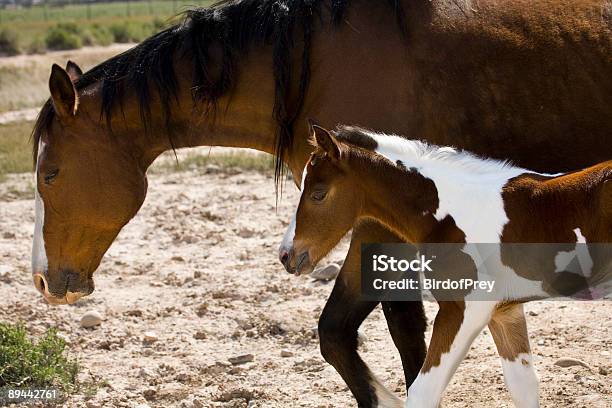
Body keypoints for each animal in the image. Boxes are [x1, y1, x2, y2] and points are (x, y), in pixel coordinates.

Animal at [280, 125, 608, 408]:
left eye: (318, 194)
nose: (286, 255)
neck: (454, 212)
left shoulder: (464, 308)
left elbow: (422, 393)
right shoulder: (505, 311)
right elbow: (523, 386)